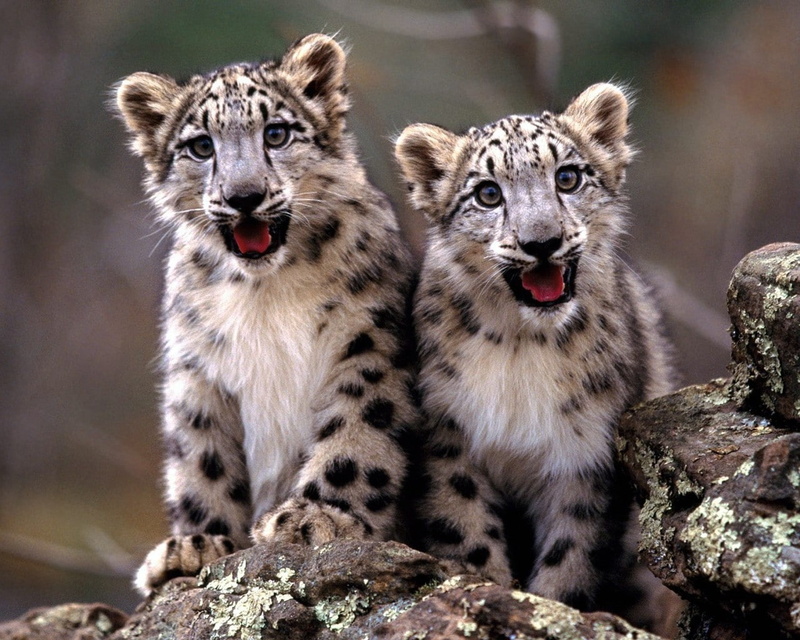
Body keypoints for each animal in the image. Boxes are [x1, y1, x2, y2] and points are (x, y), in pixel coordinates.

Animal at [113, 34, 418, 596]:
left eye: (276, 133)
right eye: (201, 146)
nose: (244, 196)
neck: (265, 293)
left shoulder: (370, 342)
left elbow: (358, 429)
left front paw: (317, 516)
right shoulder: (197, 368)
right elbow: (202, 457)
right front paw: (197, 544)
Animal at [395, 83, 678, 631]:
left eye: (567, 177)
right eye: (488, 193)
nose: (541, 242)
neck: (522, 346)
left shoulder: (586, 454)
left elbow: (571, 555)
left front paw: (550, 609)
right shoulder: (449, 438)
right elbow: (467, 532)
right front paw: (487, 591)